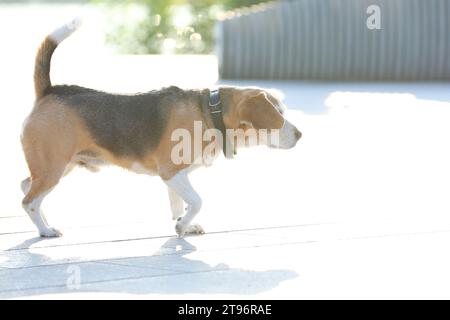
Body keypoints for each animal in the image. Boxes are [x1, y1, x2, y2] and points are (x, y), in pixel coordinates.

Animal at [21, 20, 302, 238]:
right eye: (279, 114)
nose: (300, 135)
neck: (209, 113)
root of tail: (49, 91)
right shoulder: (172, 172)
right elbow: (197, 201)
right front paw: (183, 226)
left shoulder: (177, 177)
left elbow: (180, 205)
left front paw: (184, 225)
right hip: (53, 169)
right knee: (29, 200)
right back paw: (45, 230)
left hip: (60, 167)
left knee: (27, 187)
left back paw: (43, 222)